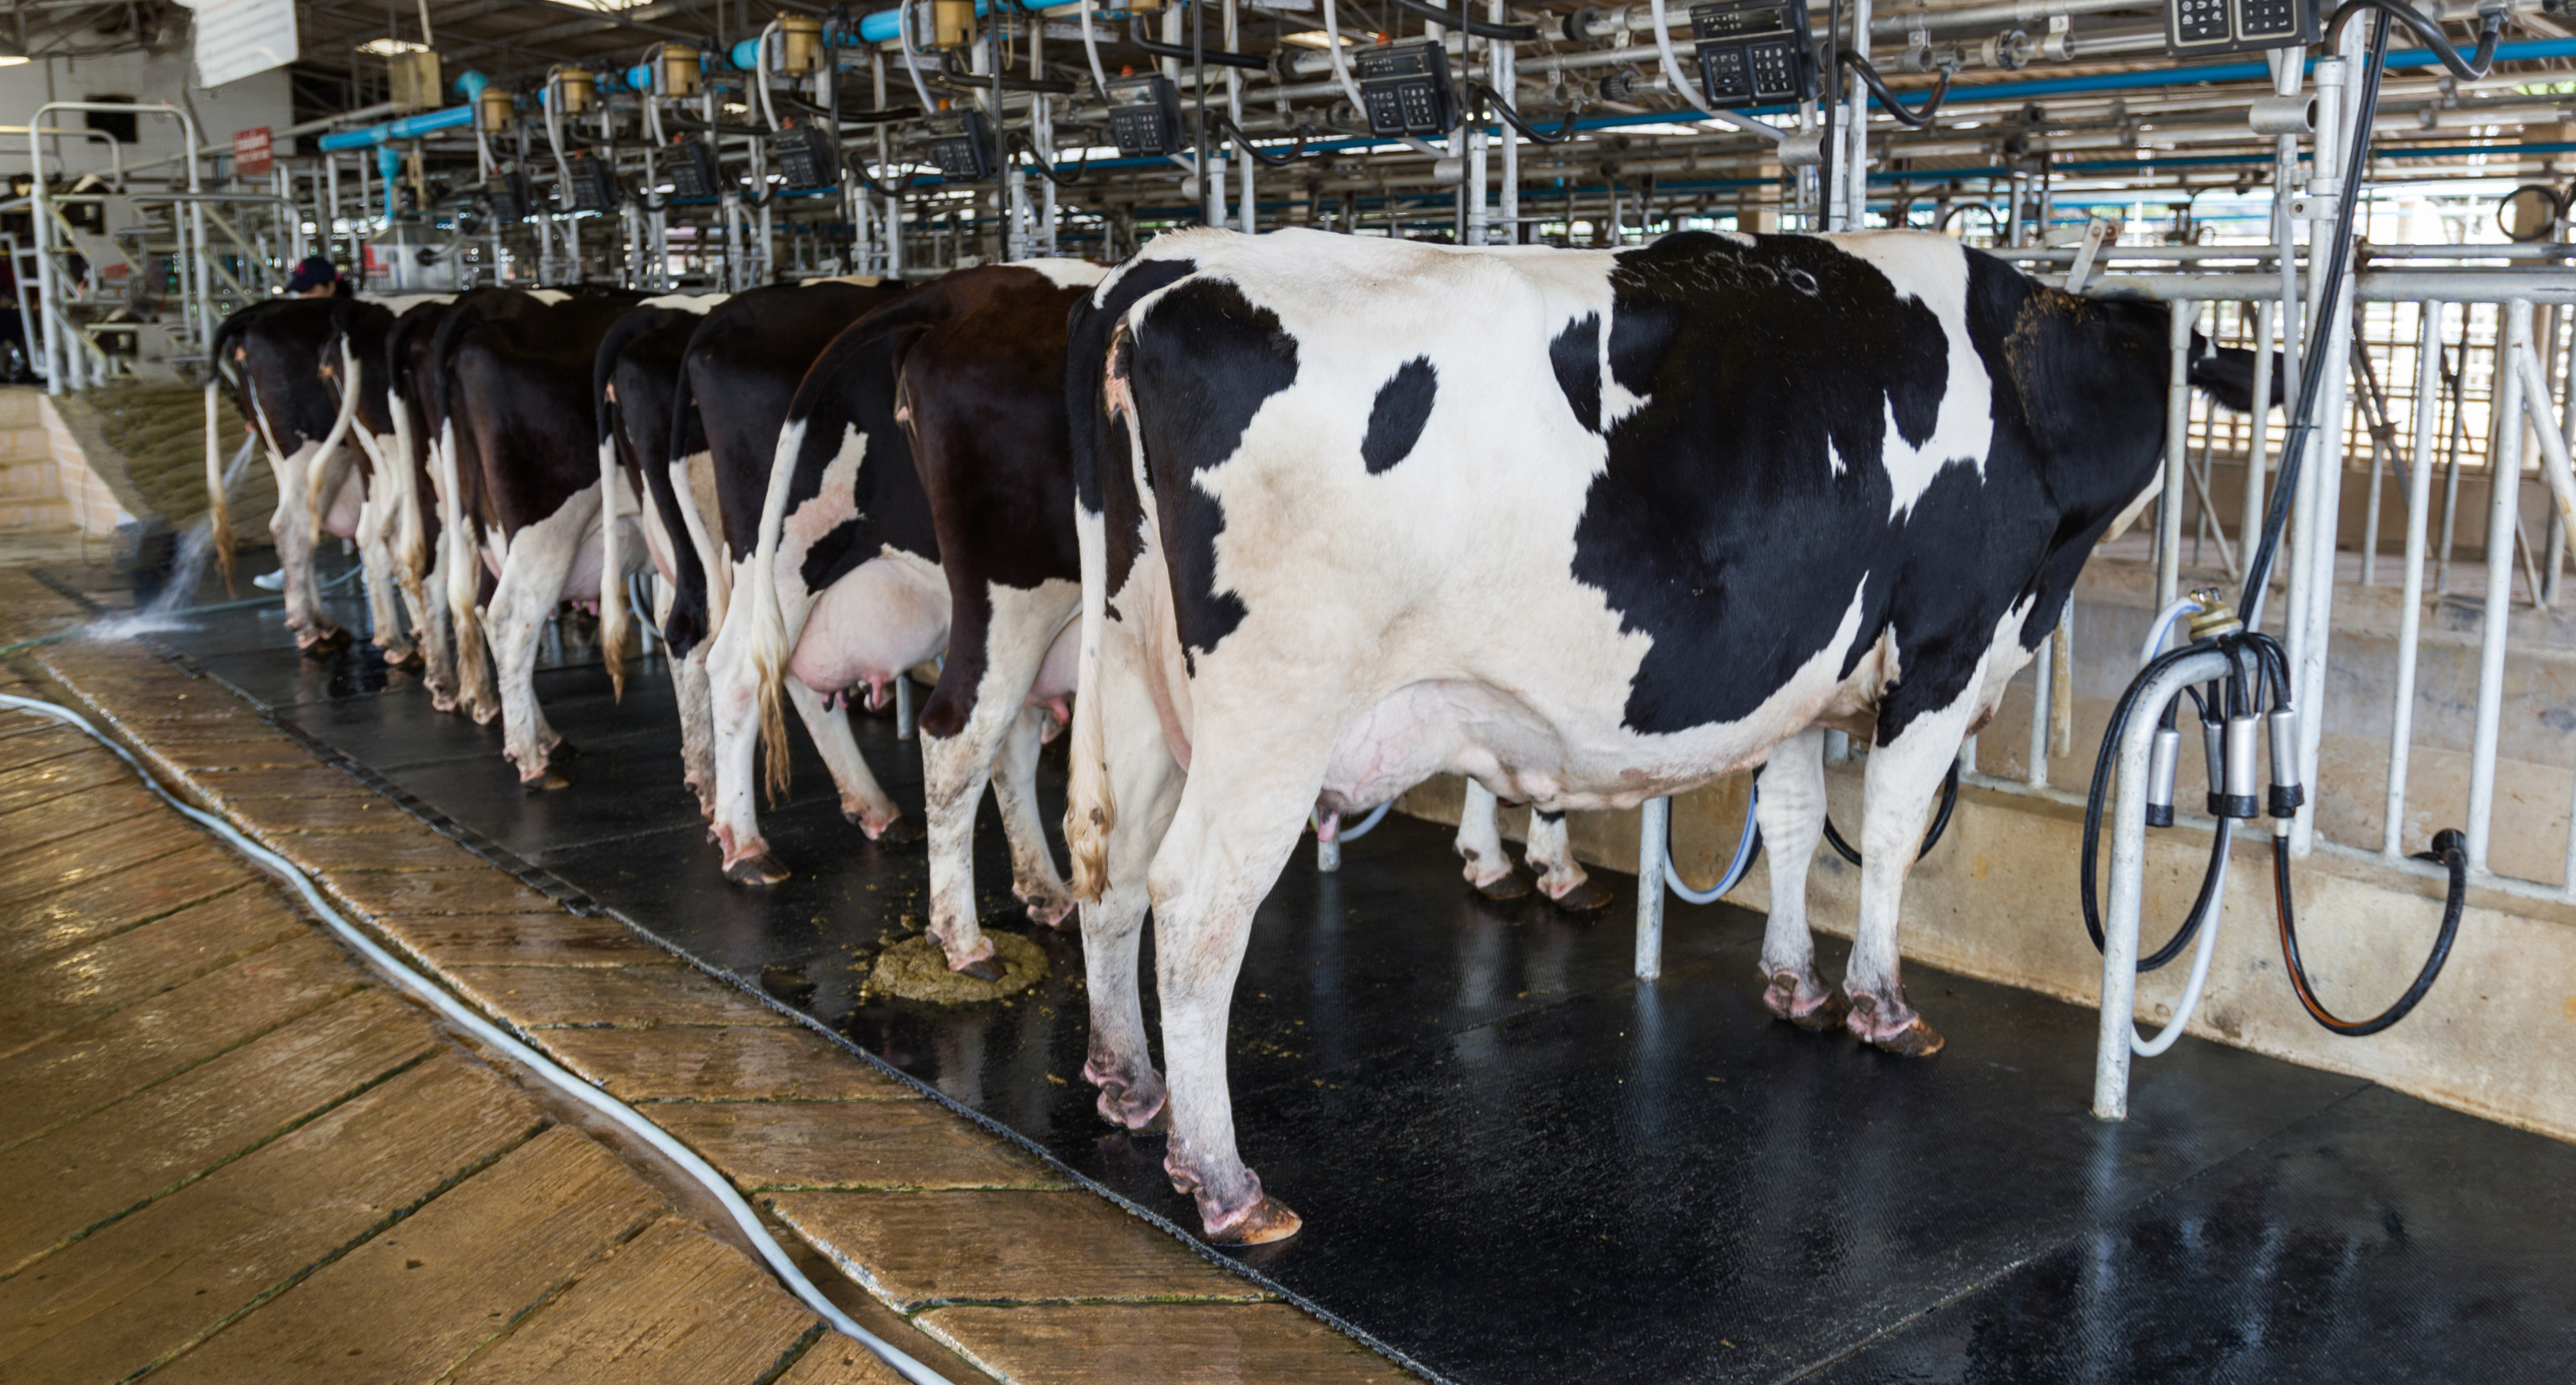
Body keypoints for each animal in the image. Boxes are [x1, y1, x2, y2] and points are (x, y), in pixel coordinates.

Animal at [721, 258, 1102, 968]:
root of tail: (959, 289)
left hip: (781, 555)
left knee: (754, 664)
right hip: (1012, 588)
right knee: (958, 730)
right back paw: (960, 937)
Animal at [1061, 226, 2256, 1240]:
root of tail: (1156, 282)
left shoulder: (1800, 668)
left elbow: (1796, 818)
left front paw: (1796, 982)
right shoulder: (1946, 645)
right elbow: (1891, 827)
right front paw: (1882, 1001)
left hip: (1128, 668)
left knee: (1108, 863)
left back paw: (1128, 1079)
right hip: (1276, 707)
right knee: (1197, 904)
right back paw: (1225, 1179)